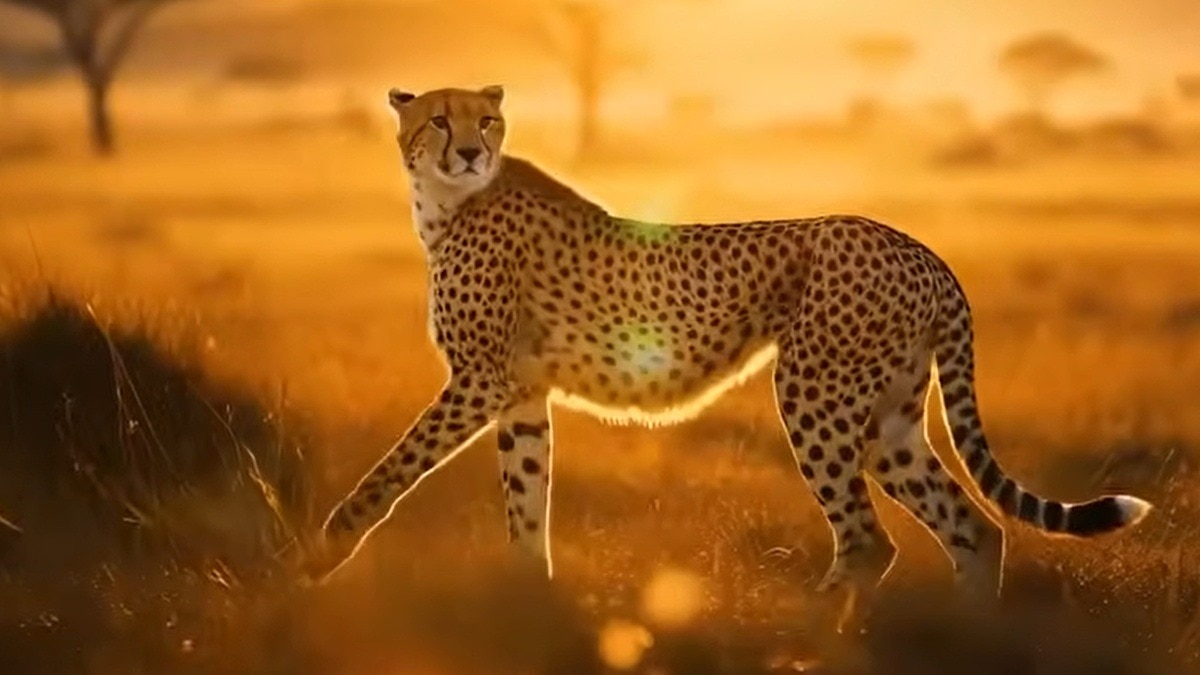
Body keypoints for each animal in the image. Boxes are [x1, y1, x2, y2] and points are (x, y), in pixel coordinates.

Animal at [296, 84, 1151, 623]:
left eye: (487, 121)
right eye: (440, 119)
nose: (472, 151)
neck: (447, 203)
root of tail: (919, 248)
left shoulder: (479, 381)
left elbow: (392, 471)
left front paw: (323, 553)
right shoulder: (521, 395)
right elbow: (525, 500)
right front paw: (527, 600)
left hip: (815, 393)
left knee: (869, 539)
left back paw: (801, 620)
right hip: (890, 419)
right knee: (975, 528)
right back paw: (974, 637)